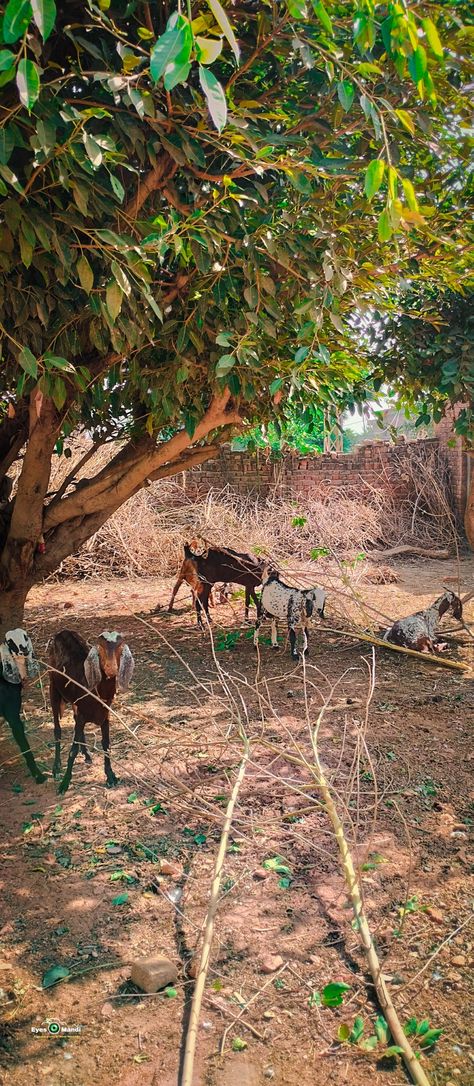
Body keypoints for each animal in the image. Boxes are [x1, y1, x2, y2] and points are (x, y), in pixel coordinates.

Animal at [47, 625, 134, 794]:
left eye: (120, 648)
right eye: (100, 649)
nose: (111, 669)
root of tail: (62, 631)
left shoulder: (105, 716)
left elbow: (106, 744)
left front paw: (110, 776)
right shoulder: (82, 716)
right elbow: (72, 750)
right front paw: (65, 783)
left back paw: (86, 754)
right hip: (53, 687)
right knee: (57, 729)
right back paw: (56, 767)